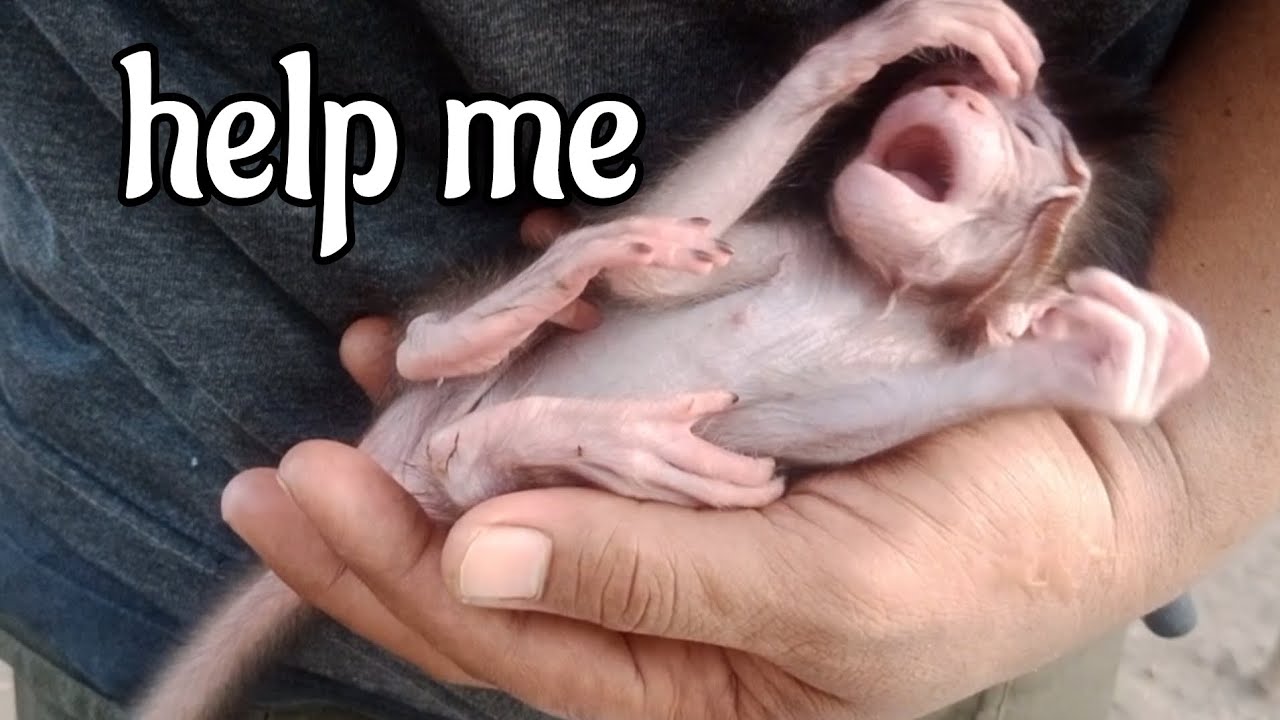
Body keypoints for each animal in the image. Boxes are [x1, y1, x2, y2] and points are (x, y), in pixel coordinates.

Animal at [130, 1, 1210, 718]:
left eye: (1029, 132)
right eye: (983, 93)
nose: (955, 94)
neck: (885, 288)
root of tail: (398, 461)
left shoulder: (907, 356)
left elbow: (826, 422)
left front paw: (1090, 362)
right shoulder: (791, 241)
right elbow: (651, 279)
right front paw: (864, 49)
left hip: (450, 476)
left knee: (471, 462)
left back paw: (568, 439)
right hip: (431, 390)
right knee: (454, 352)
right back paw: (529, 318)